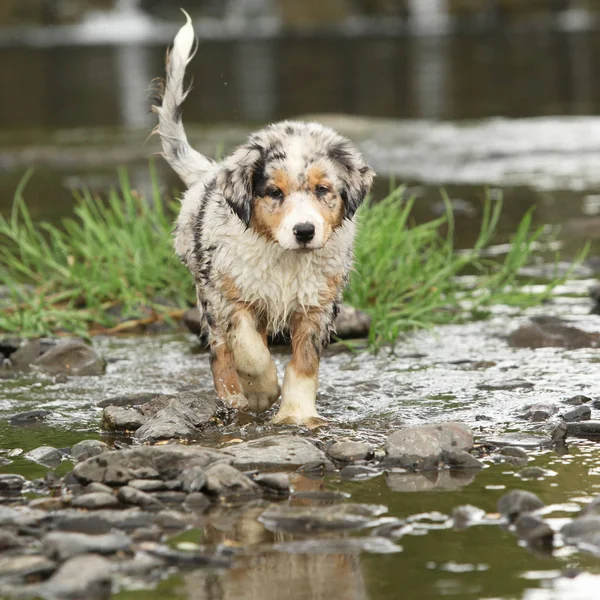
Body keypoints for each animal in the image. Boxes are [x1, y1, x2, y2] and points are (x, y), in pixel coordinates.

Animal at [152, 12, 372, 426]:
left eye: (322, 189)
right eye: (274, 193)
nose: (304, 231)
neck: (285, 259)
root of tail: (208, 173)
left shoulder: (318, 306)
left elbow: (304, 364)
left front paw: (296, 415)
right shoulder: (231, 296)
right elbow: (249, 351)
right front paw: (261, 393)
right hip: (206, 292)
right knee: (220, 353)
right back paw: (233, 399)